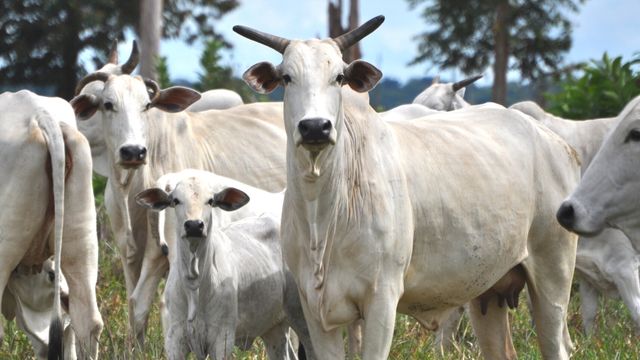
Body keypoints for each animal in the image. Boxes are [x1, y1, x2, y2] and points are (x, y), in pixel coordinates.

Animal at [135, 171, 316, 360]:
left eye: (210, 201)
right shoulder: (175, 339)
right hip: (273, 328)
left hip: (302, 318)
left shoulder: (221, 338)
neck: (194, 285)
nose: (194, 225)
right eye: (176, 200)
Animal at [234, 15, 580, 358]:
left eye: (339, 77)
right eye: (287, 77)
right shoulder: (316, 310)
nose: (315, 127)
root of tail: (556, 142)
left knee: (557, 343)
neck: (324, 212)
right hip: (489, 291)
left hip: (553, 274)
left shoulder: (382, 300)